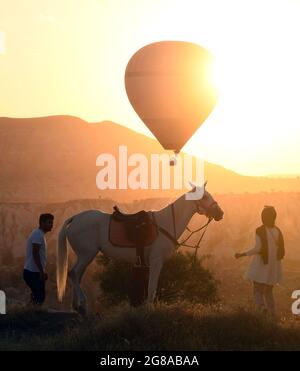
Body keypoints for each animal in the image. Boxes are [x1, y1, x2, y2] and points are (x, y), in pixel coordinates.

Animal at [57, 186, 224, 314]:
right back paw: (82, 304)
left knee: (76, 275)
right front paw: (150, 308)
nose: (220, 213)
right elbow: (152, 287)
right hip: (87, 254)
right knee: (74, 273)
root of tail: (75, 218)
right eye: (204, 197)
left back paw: (76, 306)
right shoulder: (156, 261)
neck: (166, 223)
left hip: (83, 256)